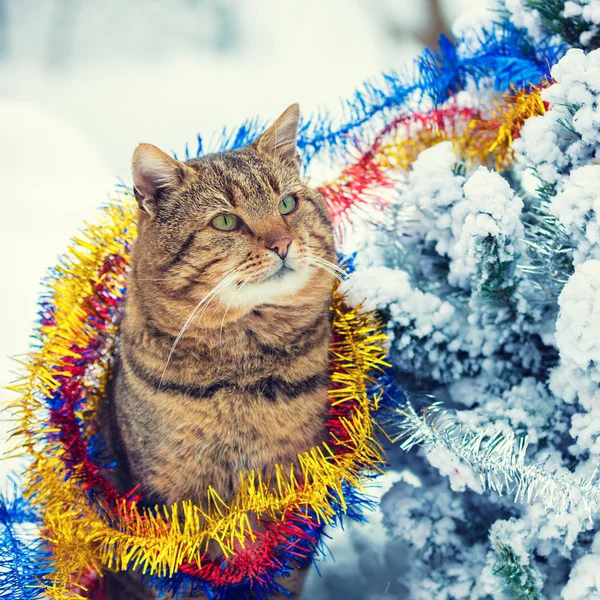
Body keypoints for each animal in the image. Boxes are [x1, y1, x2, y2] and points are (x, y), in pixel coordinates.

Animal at [101, 105, 336, 596]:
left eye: (288, 203)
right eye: (225, 221)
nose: (282, 243)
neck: (240, 374)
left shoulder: (293, 484)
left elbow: (281, 570)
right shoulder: (172, 493)